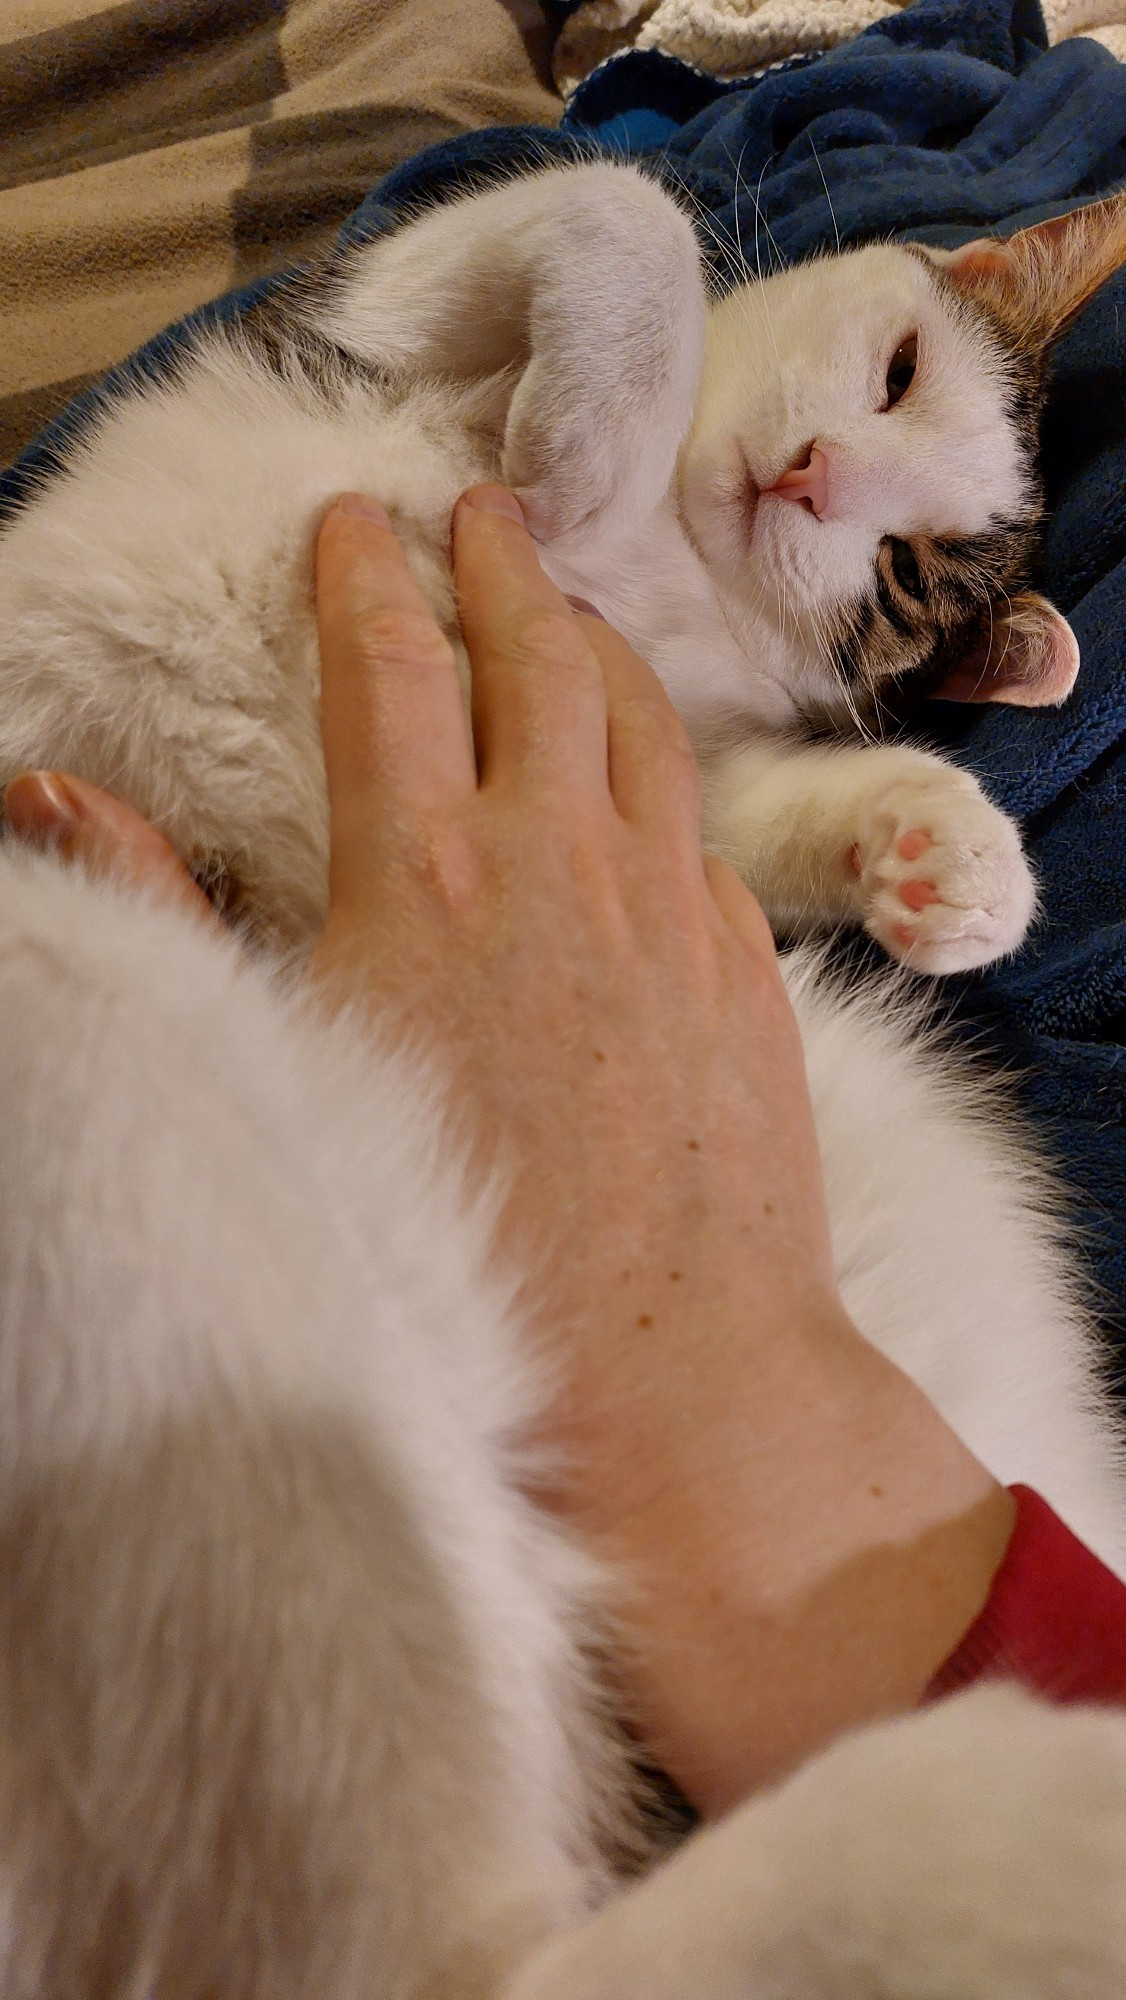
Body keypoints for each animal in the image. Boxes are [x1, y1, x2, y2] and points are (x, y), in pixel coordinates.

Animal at [0, 160, 1126, 2000]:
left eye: (900, 575)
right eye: (895, 372)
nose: (811, 478)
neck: (674, 565)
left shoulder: (689, 755)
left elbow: (751, 812)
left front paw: (946, 853)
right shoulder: (386, 314)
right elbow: (621, 211)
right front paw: (575, 456)